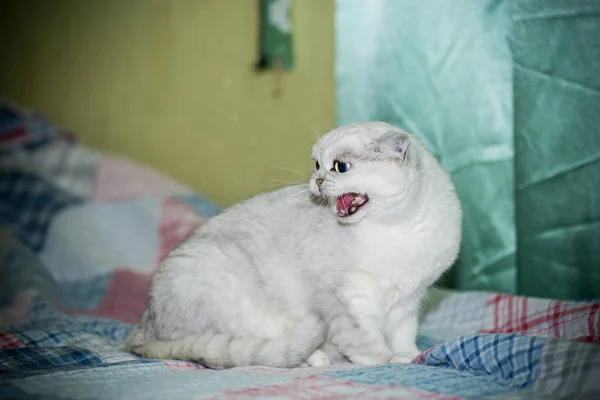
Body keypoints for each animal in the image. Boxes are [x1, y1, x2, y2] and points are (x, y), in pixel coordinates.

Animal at [125, 121, 464, 368]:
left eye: (340, 167)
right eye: (316, 164)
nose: (317, 181)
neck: (398, 230)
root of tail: (142, 326)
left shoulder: (408, 302)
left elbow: (404, 335)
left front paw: (412, 356)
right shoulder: (347, 300)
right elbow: (366, 342)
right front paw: (389, 360)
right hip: (225, 286)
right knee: (251, 350)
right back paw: (316, 356)